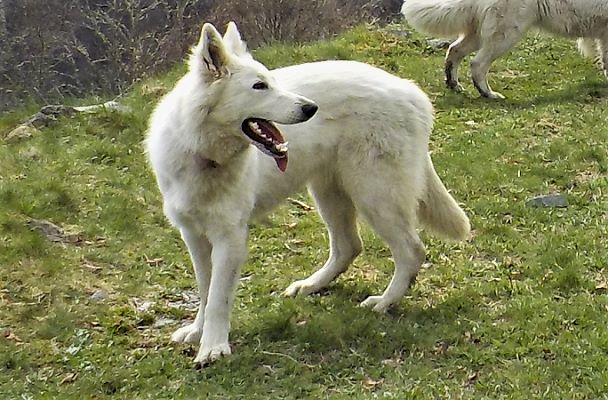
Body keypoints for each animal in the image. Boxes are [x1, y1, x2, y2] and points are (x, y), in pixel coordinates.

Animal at [146, 21, 470, 366]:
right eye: (260, 86)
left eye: (270, 81)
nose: (311, 108)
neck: (204, 155)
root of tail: (412, 92)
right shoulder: (193, 235)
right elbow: (205, 291)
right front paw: (197, 333)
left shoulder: (229, 237)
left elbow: (219, 297)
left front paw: (213, 347)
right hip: (330, 194)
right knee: (348, 247)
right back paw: (312, 285)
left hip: (375, 196)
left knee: (411, 251)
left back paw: (384, 302)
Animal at [400, 0, 608, 98]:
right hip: (507, 33)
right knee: (478, 64)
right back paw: (488, 94)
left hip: (482, 34)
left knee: (454, 50)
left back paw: (454, 84)